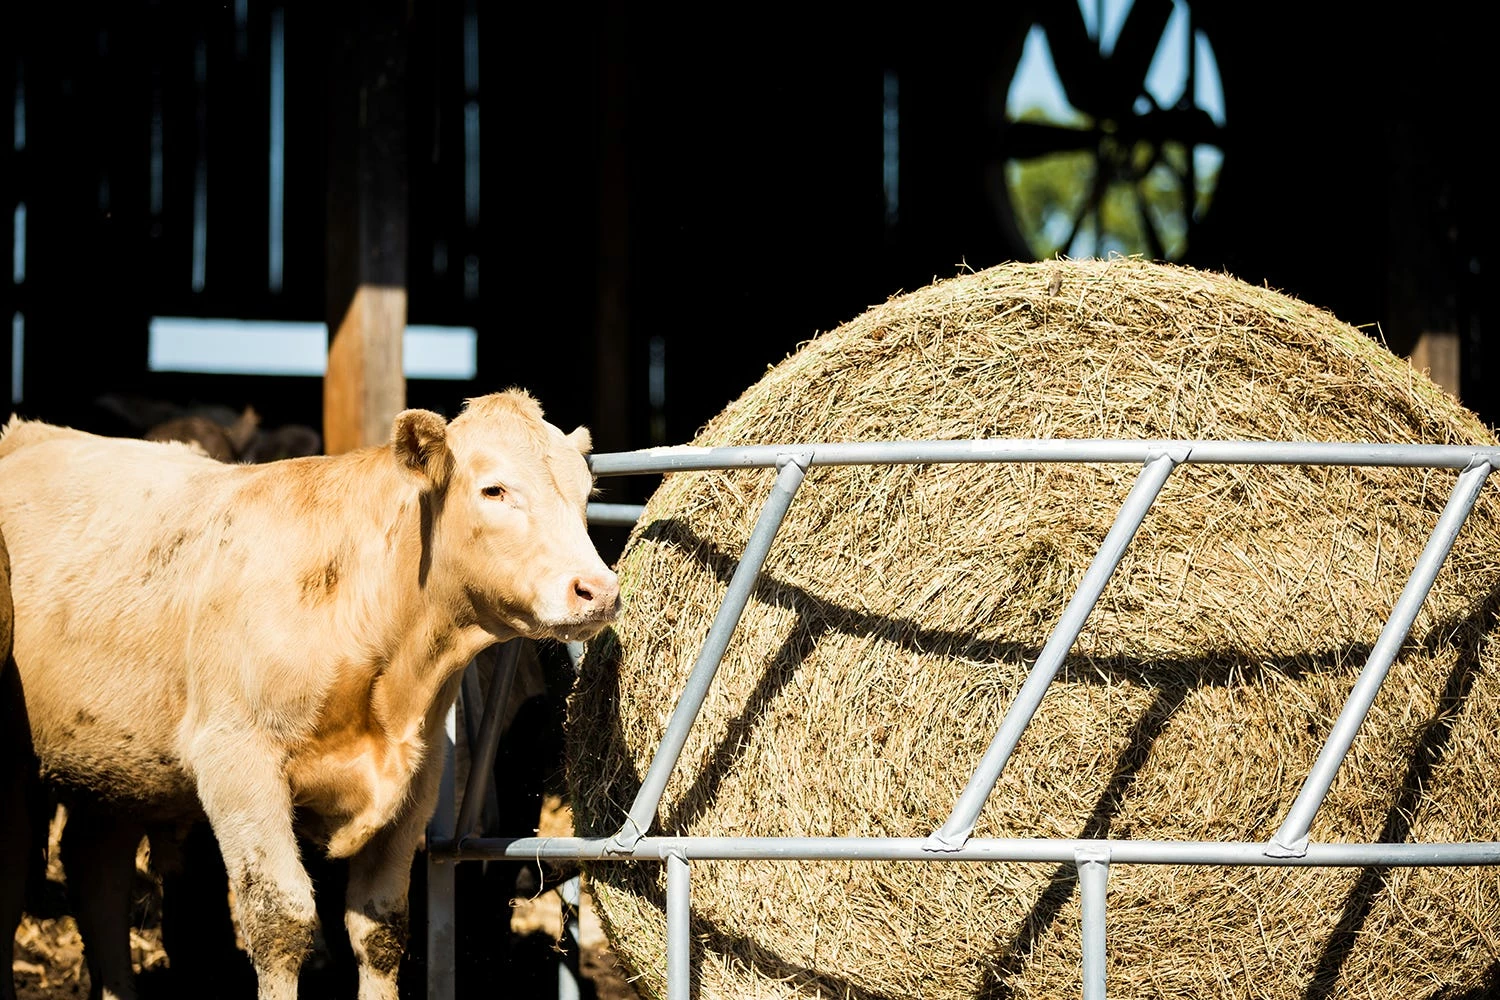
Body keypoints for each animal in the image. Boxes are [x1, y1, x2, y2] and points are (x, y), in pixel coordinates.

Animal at [0, 390, 620, 1000]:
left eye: (585, 493)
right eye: (494, 489)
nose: (598, 590)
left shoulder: (417, 784)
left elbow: (380, 928)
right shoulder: (236, 762)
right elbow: (280, 920)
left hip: (116, 770)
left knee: (97, 874)